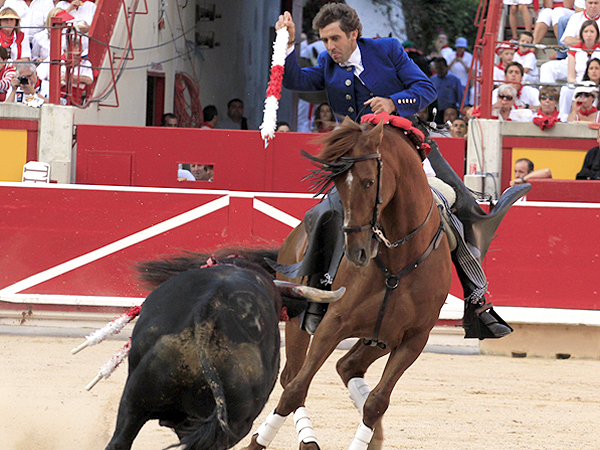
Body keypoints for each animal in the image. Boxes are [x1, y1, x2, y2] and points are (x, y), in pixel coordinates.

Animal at [241, 117, 452, 450]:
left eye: (368, 182)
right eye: (339, 183)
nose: (357, 252)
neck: (399, 259)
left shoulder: (414, 339)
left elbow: (376, 403)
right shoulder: (334, 324)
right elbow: (295, 390)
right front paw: (256, 442)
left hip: (379, 338)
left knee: (347, 367)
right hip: (299, 319)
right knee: (292, 377)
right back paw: (308, 440)